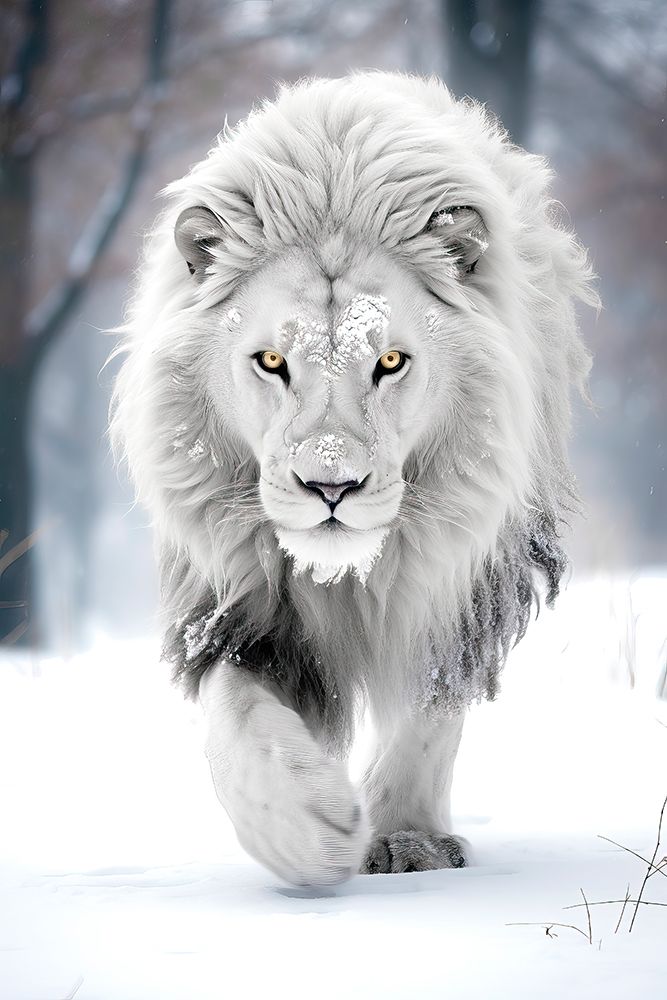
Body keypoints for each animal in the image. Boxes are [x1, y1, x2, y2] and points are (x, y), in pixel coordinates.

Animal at [110, 72, 596, 885]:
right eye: (272, 361)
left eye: (390, 361)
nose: (329, 488)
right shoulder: (235, 603)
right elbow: (235, 717)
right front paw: (307, 824)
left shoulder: (466, 580)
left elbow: (430, 707)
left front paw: (406, 839)